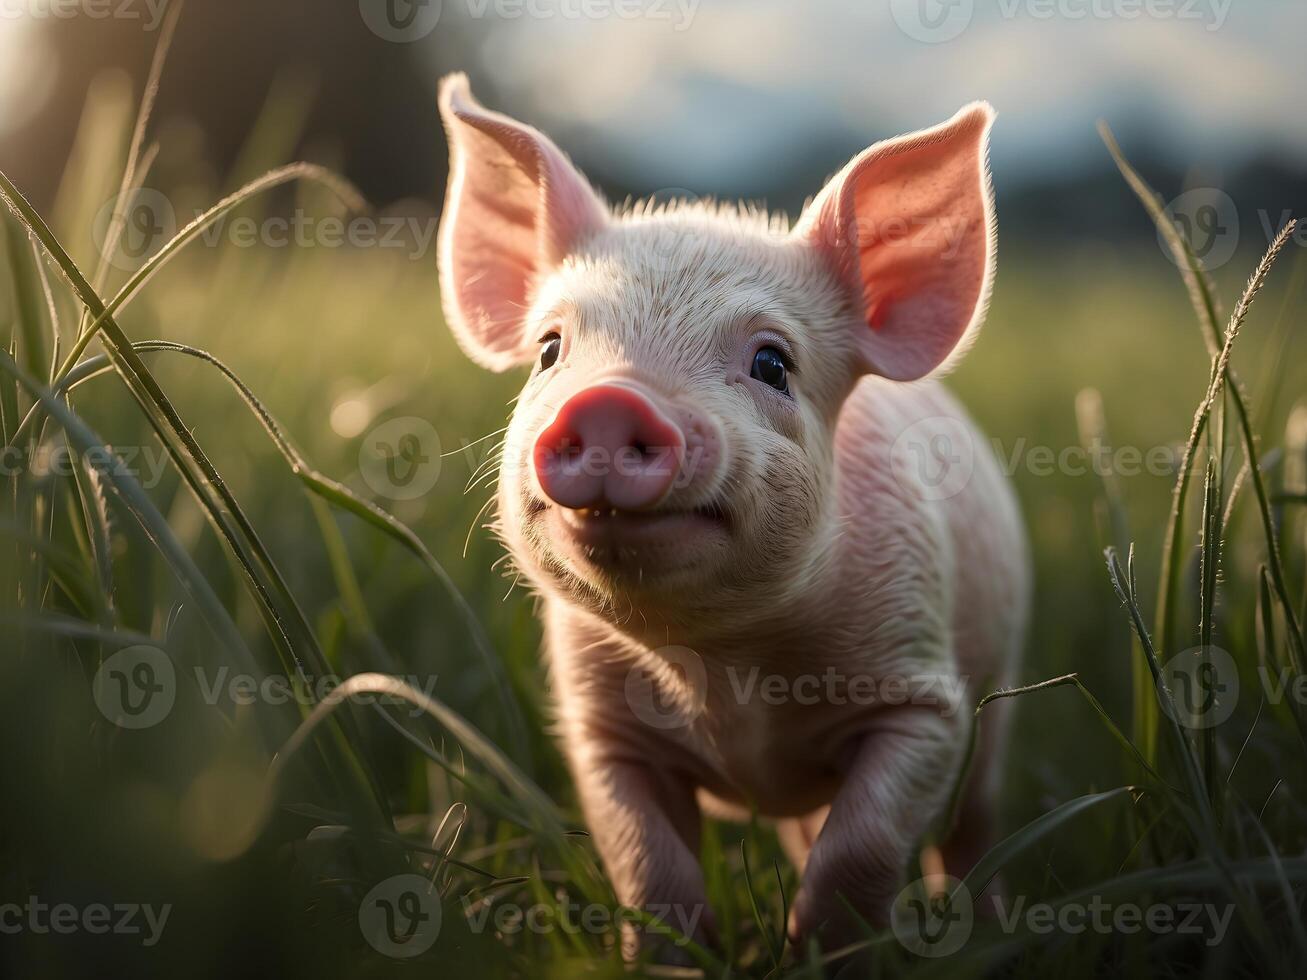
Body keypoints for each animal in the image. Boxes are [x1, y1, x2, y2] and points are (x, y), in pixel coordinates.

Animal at [439, 74, 1029, 961]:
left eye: (771, 364)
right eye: (548, 350)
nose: (610, 399)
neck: (723, 674)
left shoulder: (924, 699)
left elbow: (861, 846)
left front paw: (818, 953)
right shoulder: (599, 730)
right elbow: (648, 866)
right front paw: (678, 961)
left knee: (974, 825)